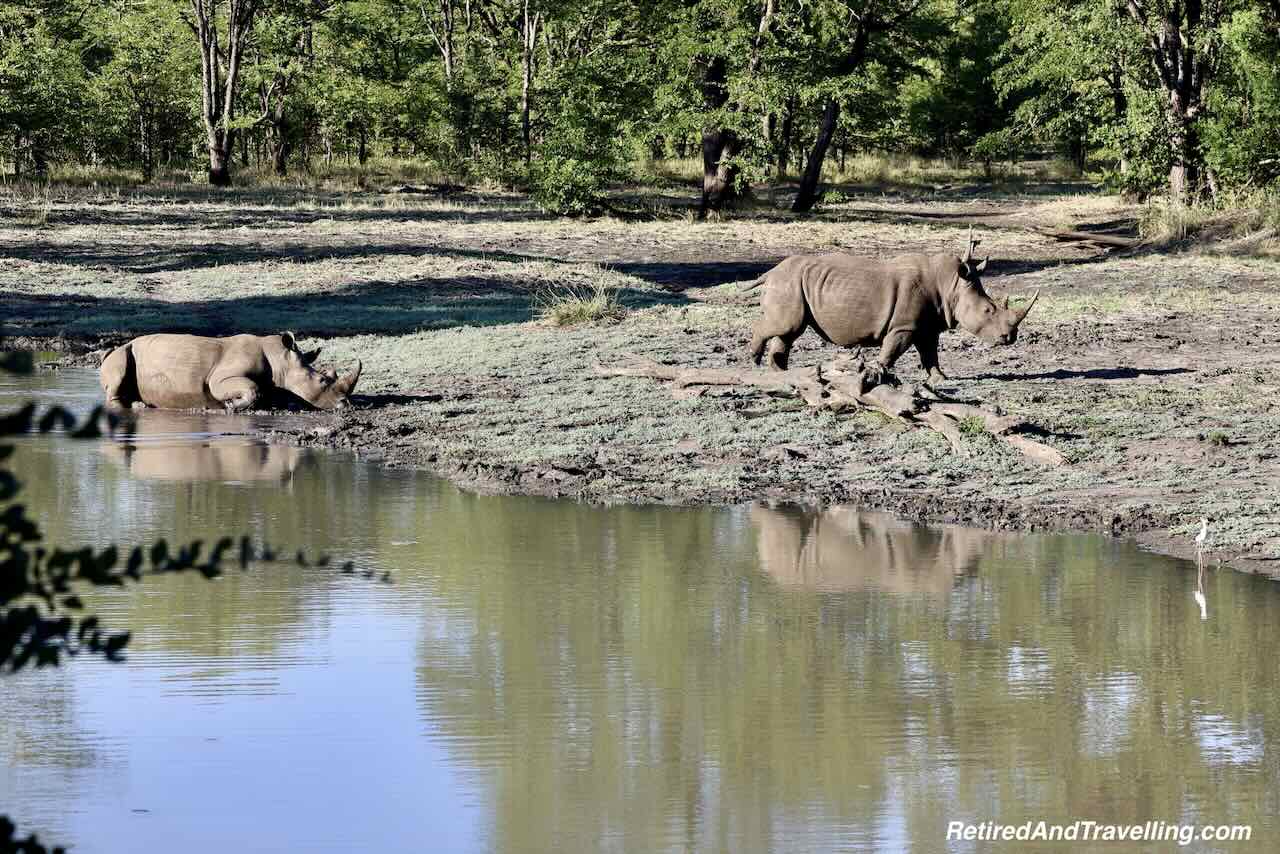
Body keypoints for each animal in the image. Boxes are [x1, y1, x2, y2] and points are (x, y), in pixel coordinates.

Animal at [97, 332, 360, 412]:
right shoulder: (220, 378)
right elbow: (252, 389)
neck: (280, 360)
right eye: (323, 380)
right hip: (121, 353)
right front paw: (232, 405)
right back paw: (137, 406)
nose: (345, 404)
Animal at [747, 229, 1034, 386]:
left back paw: (780, 373)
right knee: (787, 325)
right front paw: (876, 372)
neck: (951, 285)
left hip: (794, 284)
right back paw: (755, 359)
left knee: (789, 331)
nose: (1010, 337)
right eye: (988, 310)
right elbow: (892, 350)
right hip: (789, 283)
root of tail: (770, 273)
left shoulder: (927, 326)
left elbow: (930, 353)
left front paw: (939, 378)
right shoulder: (903, 326)